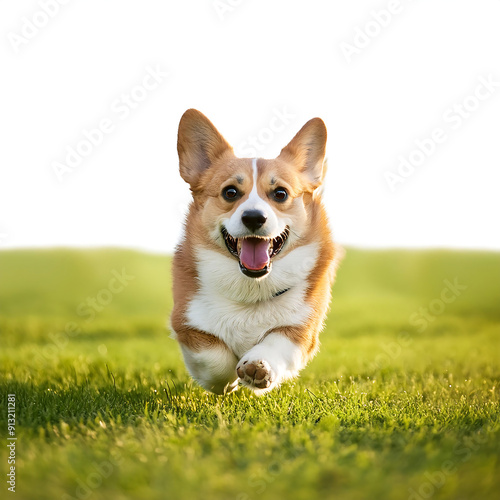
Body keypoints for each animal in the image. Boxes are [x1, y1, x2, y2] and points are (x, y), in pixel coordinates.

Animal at [171, 109, 340, 394]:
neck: (250, 289)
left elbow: (276, 340)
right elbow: (215, 358)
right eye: (230, 192)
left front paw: (257, 366)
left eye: (280, 193)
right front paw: (228, 381)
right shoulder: (187, 323)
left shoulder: (302, 327)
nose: (253, 217)